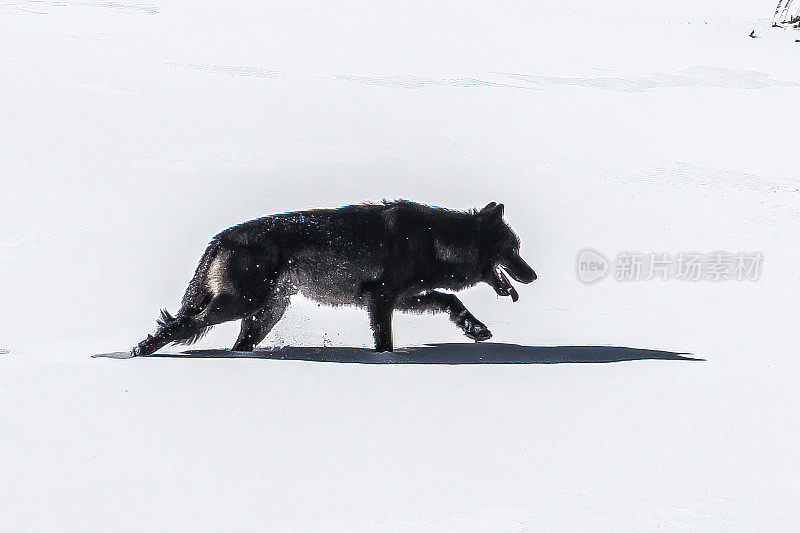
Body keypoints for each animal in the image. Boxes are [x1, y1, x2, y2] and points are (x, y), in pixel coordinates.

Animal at [133, 202, 536, 356]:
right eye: (513, 250)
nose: (533, 276)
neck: (435, 239)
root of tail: (222, 237)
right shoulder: (381, 299)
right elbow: (385, 339)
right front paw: (385, 361)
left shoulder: (405, 297)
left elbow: (450, 300)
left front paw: (474, 328)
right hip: (236, 306)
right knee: (177, 324)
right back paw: (138, 352)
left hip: (264, 314)